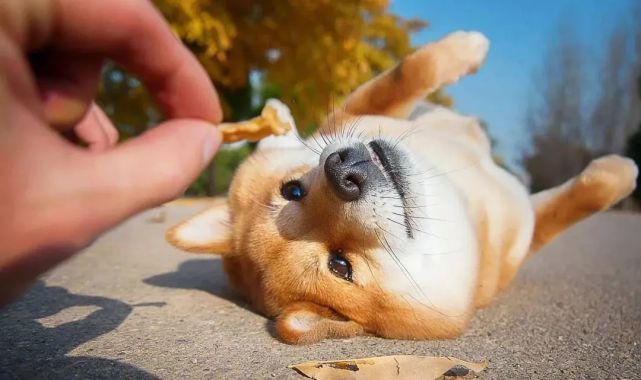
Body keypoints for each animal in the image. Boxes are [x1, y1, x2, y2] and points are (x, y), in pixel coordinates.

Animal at [164, 31, 636, 344]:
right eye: (340, 265)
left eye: (292, 191)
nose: (343, 172)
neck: (463, 196)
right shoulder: (526, 235)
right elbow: (577, 205)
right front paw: (622, 174)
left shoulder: (356, 114)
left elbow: (409, 72)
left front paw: (465, 47)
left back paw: (273, 117)